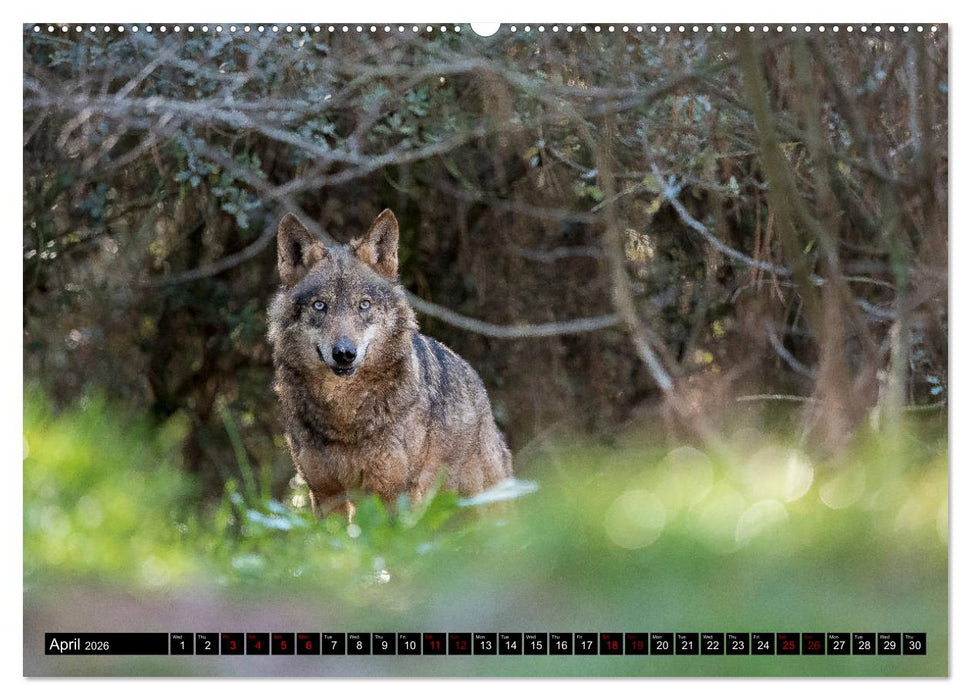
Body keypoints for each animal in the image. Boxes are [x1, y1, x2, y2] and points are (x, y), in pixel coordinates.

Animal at [267, 209, 513, 518]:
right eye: (320, 305)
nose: (344, 353)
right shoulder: (325, 494)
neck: (344, 416)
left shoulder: (393, 491)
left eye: (364, 305)